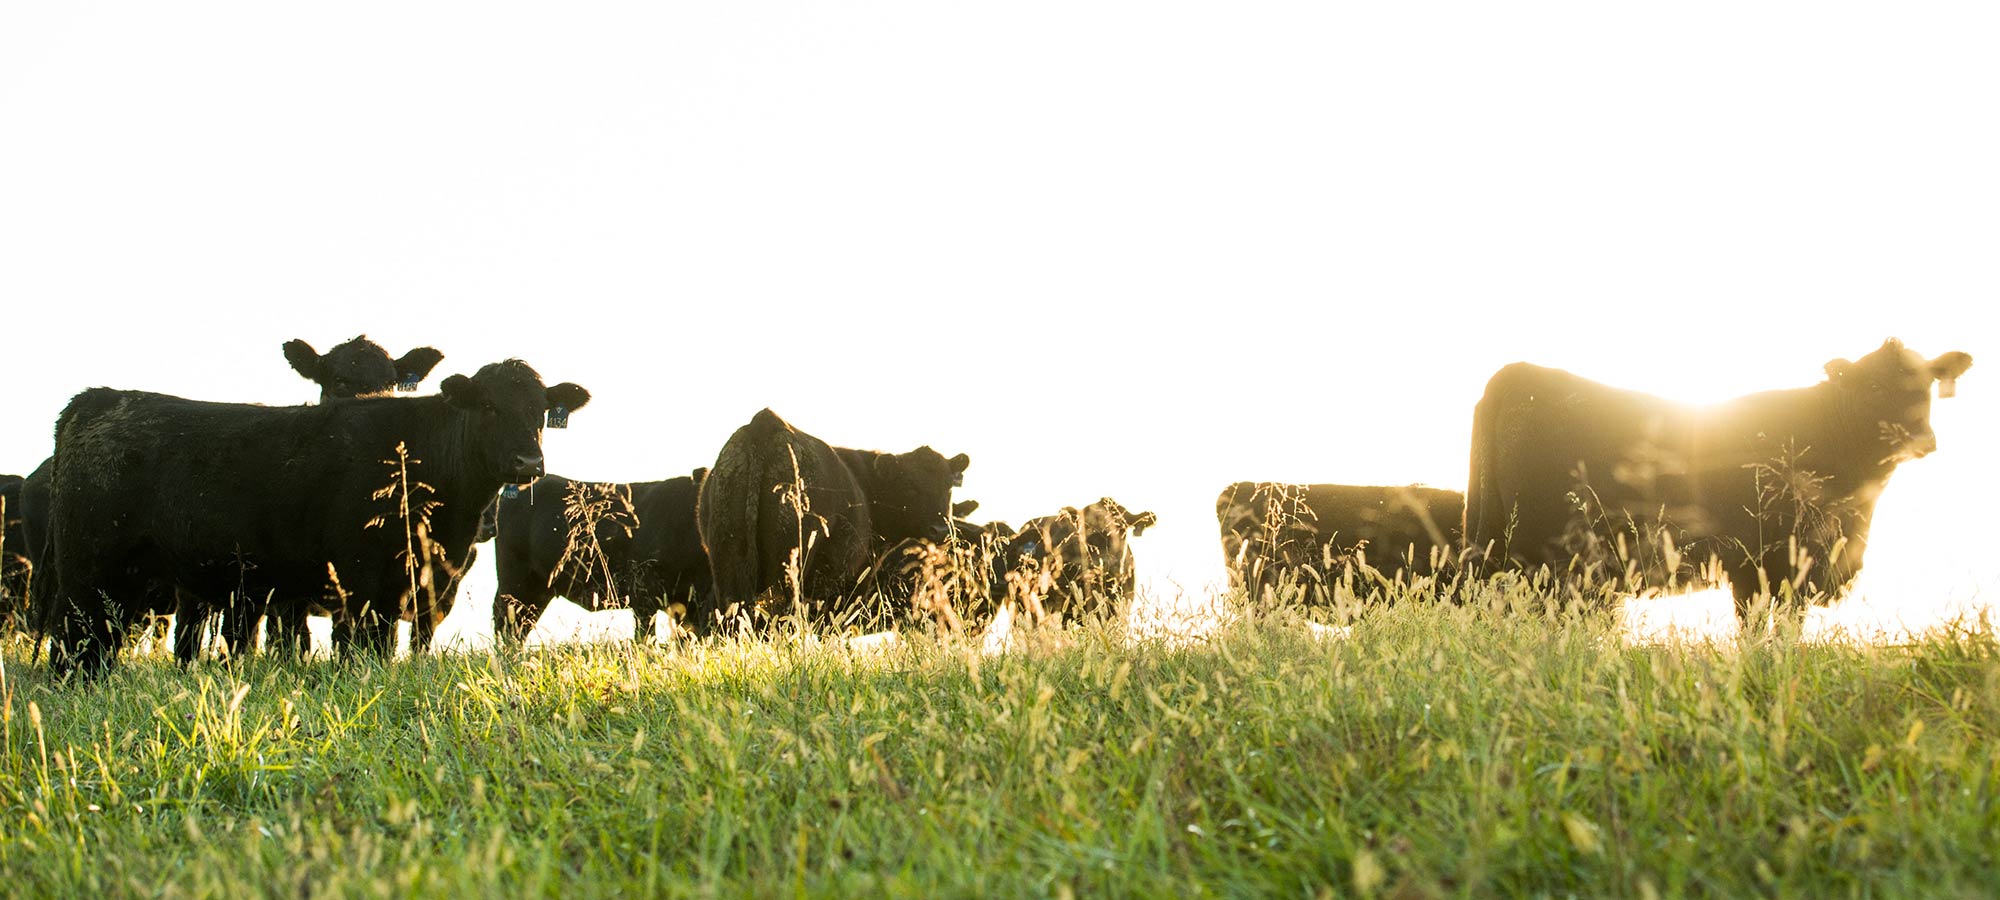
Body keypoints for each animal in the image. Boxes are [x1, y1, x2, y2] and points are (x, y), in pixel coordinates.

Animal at [38, 360, 588, 677]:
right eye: (490, 406)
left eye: (542, 411)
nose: (528, 463)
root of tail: (97, 399)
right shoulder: (366, 588)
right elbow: (363, 652)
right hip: (88, 576)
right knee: (72, 646)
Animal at [1464, 338, 1972, 623]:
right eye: (1874, 387)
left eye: (1927, 384)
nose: (1922, 439)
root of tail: (1517, 372)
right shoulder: (1764, 565)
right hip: (1547, 561)